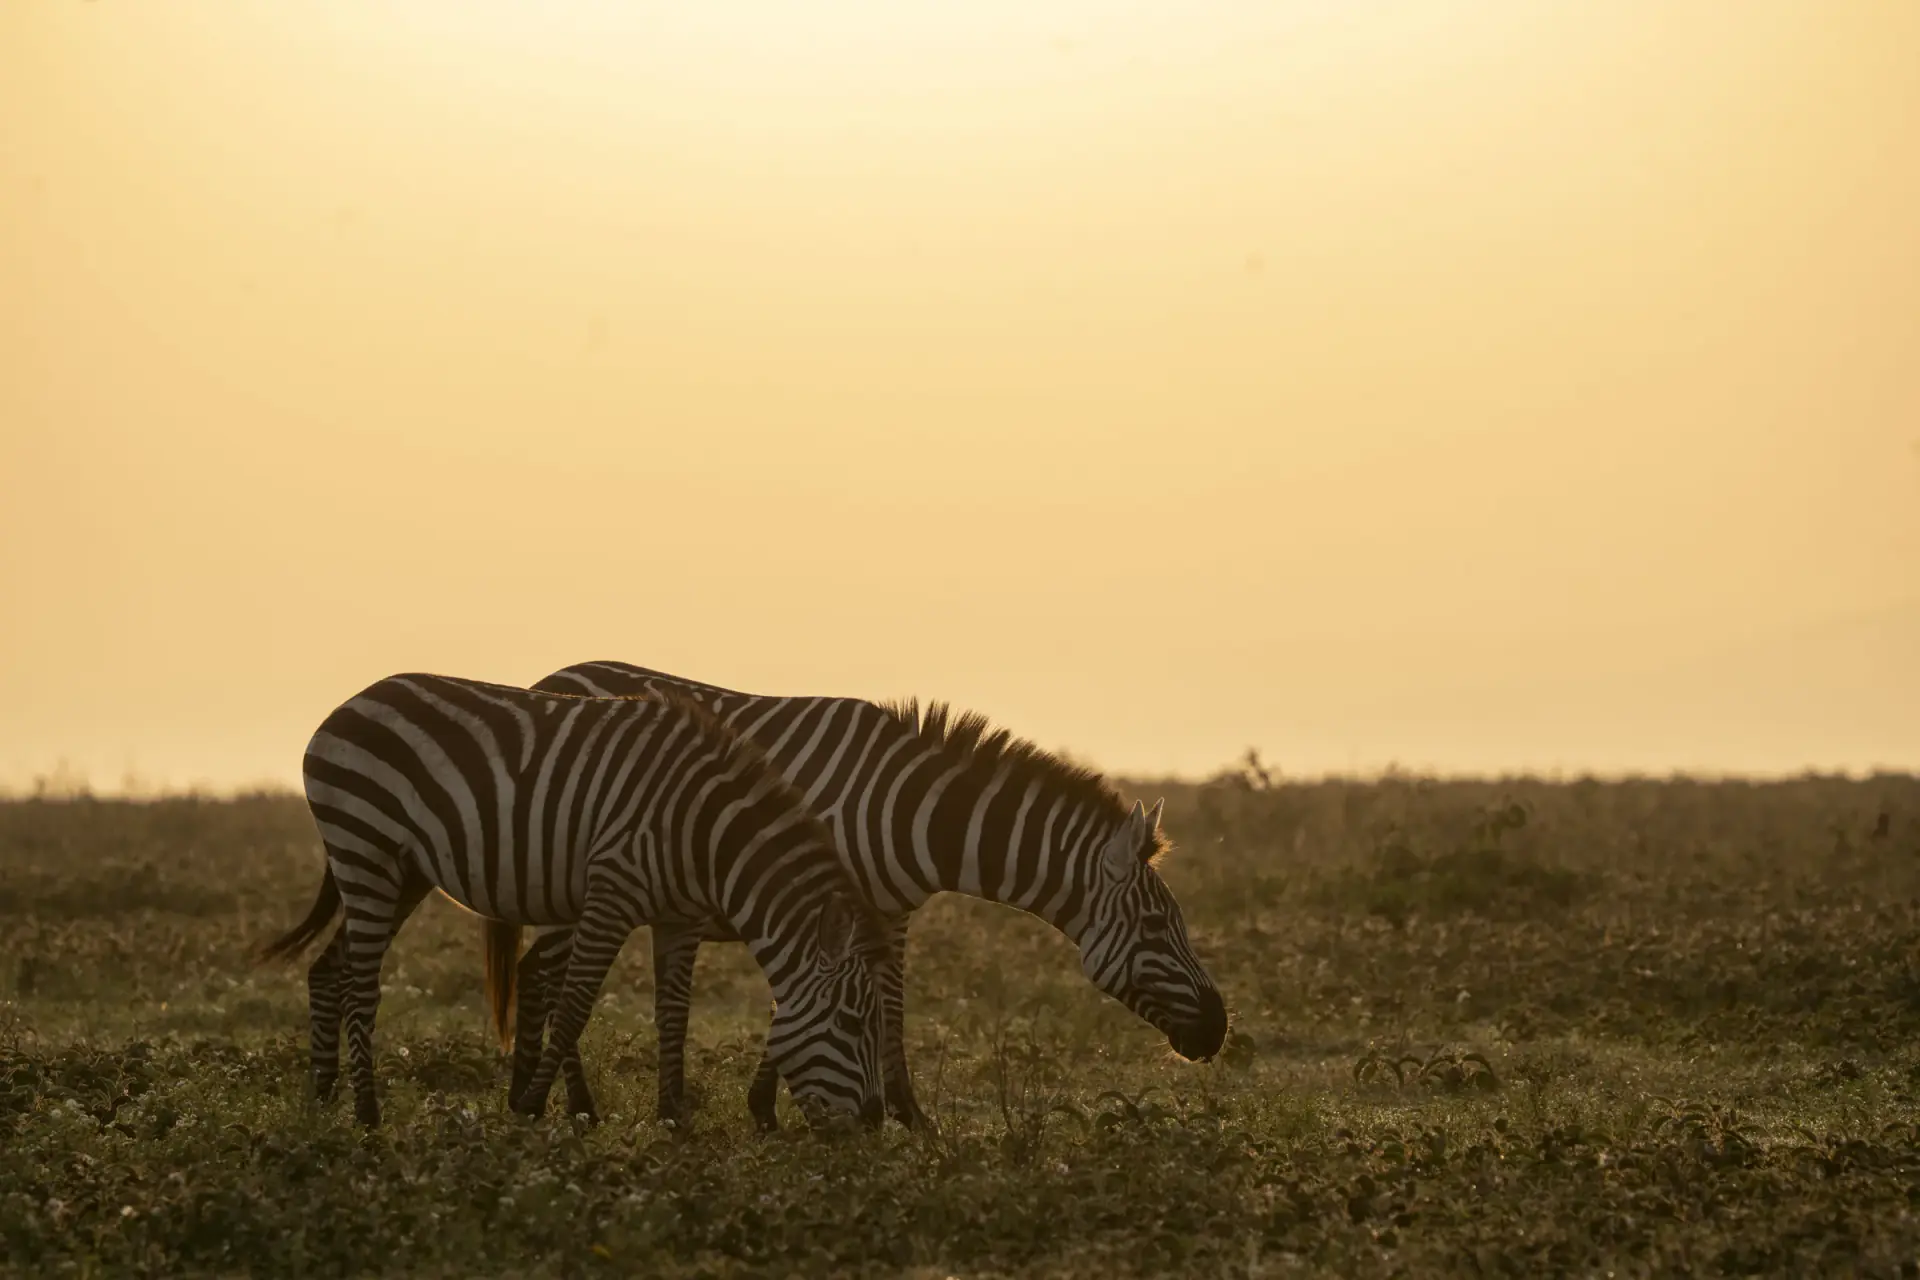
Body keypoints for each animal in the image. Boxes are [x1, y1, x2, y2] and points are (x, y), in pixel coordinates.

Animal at [257, 673, 890, 1130]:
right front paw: (531, 1107)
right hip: (364, 844)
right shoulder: (613, 891)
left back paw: (322, 1100)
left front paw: (673, 1121)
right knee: (362, 984)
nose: (875, 1122)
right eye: (854, 1021)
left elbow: (674, 1013)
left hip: (401, 872)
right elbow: (576, 1003)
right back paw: (367, 1118)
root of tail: (350, 703)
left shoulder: (678, 918)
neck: (704, 832)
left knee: (330, 968)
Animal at [490, 660, 1228, 1132]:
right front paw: (778, 1108)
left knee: (537, 970)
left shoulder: (885, 913)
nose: (1219, 1029)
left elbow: (886, 1000)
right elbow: (841, 998)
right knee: (546, 972)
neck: (915, 815)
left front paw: (902, 1112)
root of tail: (548, 680)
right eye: (1159, 925)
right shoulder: (832, 901)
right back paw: (574, 1107)